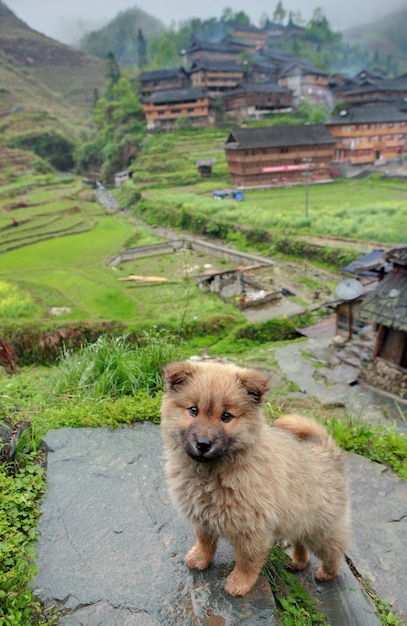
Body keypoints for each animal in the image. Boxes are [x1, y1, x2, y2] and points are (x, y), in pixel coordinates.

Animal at [159, 358, 350, 592]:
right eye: (193, 410)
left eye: (226, 416)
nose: (203, 444)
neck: (214, 472)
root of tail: (326, 450)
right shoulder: (203, 517)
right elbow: (205, 541)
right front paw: (200, 558)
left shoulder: (251, 529)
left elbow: (247, 560)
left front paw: (239, 583)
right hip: (299, 519)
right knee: (300, 541)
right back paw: (298, 562)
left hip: (323, 529)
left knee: (334, 552)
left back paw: (327, 573)